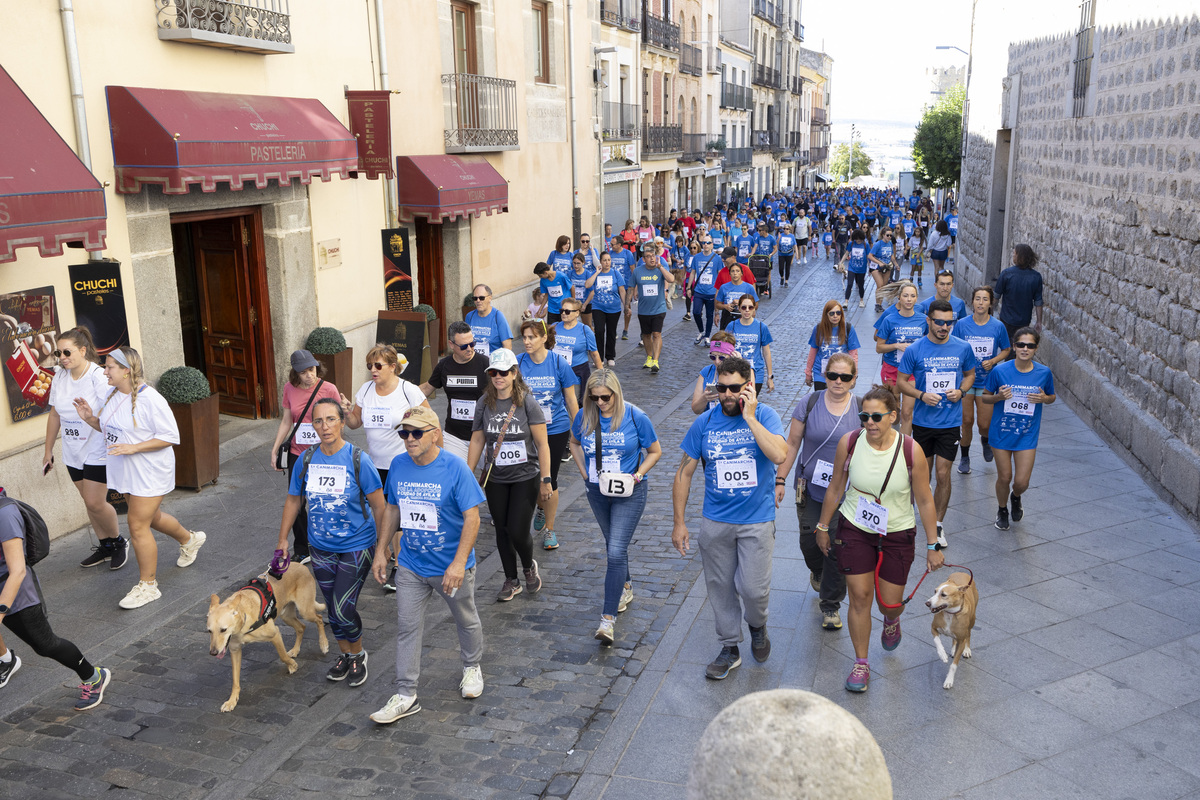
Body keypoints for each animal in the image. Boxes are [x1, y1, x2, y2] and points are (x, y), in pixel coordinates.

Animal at [206, 563, 328, 714]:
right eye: (209, 631)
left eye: (223, 630)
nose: (213, 653)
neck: (244, 617)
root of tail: (300, 565)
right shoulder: (235, 650)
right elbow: (235, 680)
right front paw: (232, 701)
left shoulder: (275, 633)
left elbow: (282, 656)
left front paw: (292, 665)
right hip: (286, 616)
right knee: (301, 627)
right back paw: (295, 650)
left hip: (305, 610)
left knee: (319, 619)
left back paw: (324, 644)